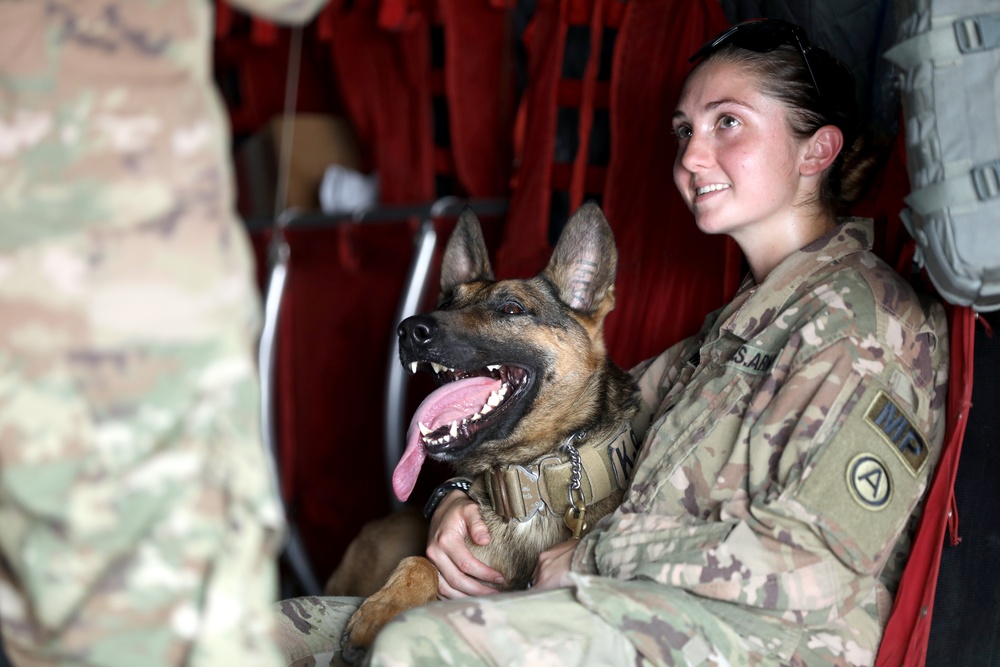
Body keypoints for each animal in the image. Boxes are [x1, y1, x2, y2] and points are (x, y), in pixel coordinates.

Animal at [342, 201, 640, 660]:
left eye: (512, 309)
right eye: (447, 301)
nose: (409, 329)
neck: (532, 481)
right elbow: (420, 562)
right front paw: (383, 607)